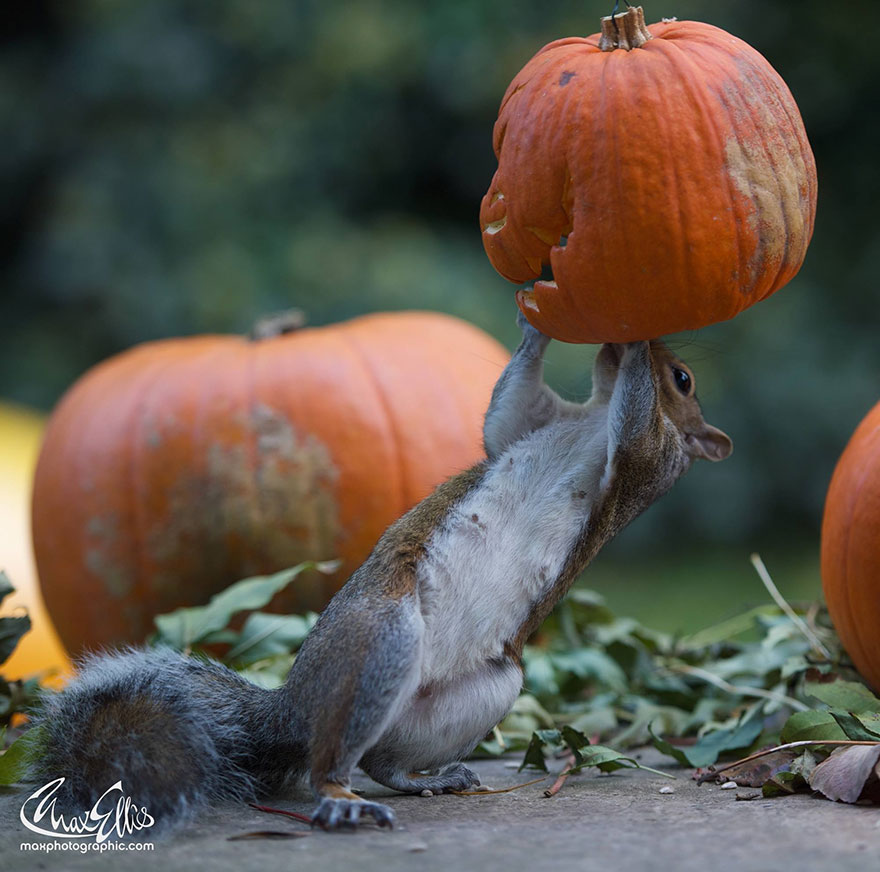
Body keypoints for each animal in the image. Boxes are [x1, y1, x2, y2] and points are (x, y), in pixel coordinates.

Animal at [28, 313, 731, 832]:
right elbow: (509, 405)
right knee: (373, 758)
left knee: (351, 764)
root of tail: (291, 711)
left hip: (406, 649)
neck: (592, 416)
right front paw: (538, 313)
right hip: (398, 650)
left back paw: (365, 793)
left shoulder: (643, 459)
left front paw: (634, 334)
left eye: (683, 378)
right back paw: (422, 780)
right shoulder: (525, 425)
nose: (617, 345)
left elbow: (635, 426)